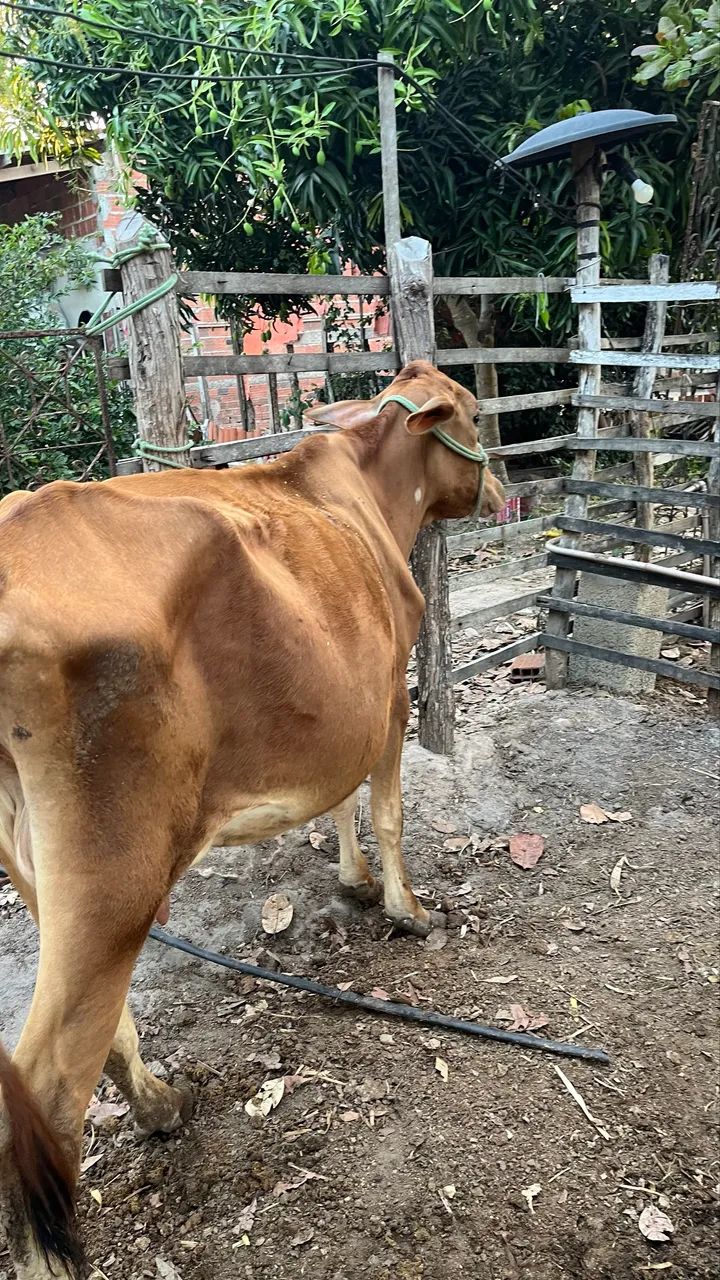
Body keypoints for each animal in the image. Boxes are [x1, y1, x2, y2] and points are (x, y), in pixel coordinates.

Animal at [0, 359, 504, 1278]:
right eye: (475, 415)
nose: (501, 484)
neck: (369, 495)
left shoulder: (346, 703)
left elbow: (340, 802)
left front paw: (353, 880)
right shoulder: (388, 697)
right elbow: (385, 810)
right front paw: (405, 908)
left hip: (35, 860)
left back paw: (162, 1105)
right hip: (113, 868)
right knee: (46, 1092)